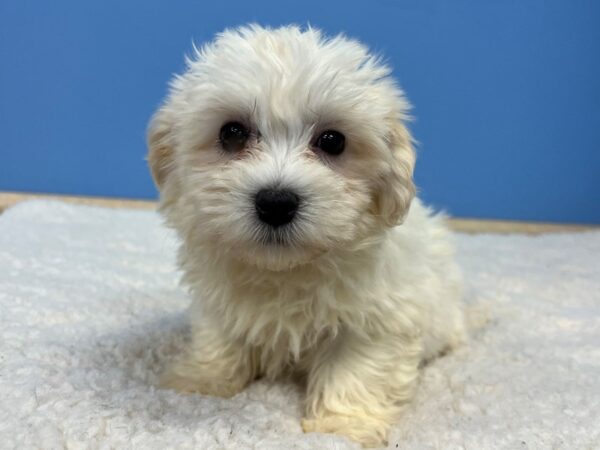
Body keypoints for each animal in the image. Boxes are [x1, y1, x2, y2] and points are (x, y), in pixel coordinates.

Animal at [148, 25, 466, 450]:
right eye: (231, 133)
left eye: (333, 141)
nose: (276, 202)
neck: (287, 271)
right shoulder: (218, 298)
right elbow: (219, 337)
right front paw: (200, 382)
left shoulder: (378, 320)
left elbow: (356, 369)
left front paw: (341, 427)